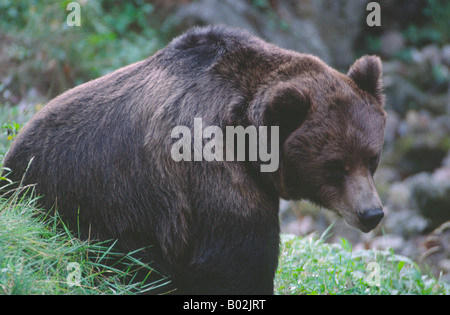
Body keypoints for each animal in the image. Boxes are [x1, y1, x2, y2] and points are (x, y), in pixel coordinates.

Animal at [0, 25, 386, 296]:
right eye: (335, 166)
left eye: (371, 158)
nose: (372, 213)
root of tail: (11, 156)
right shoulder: (211, 171)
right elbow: (234, 259)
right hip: (87, 200)